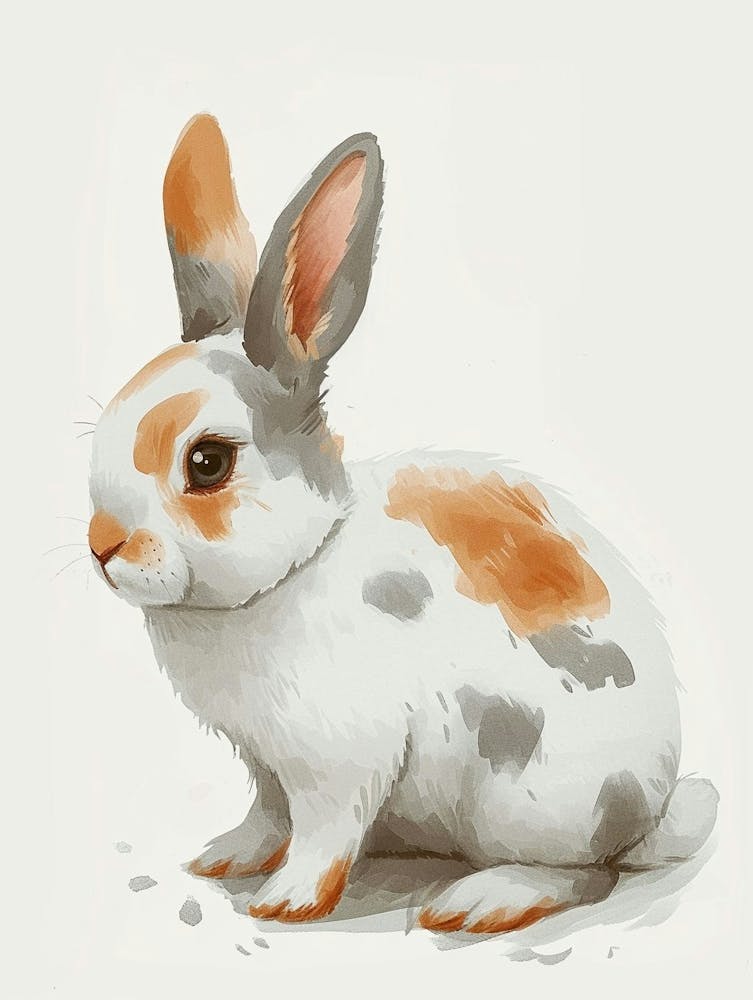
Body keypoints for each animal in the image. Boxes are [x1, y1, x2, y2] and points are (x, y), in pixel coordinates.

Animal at [87, 114, 718, 932]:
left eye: (207, 462)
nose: (102, 546)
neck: (297, 565)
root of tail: (653, 811)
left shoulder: (337, 760)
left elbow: (322, 833)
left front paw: (286, 901)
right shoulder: (264, 764)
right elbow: (268, 816)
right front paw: (224, 858)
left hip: (531, 799)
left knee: (587, 874)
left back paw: (482, 901)